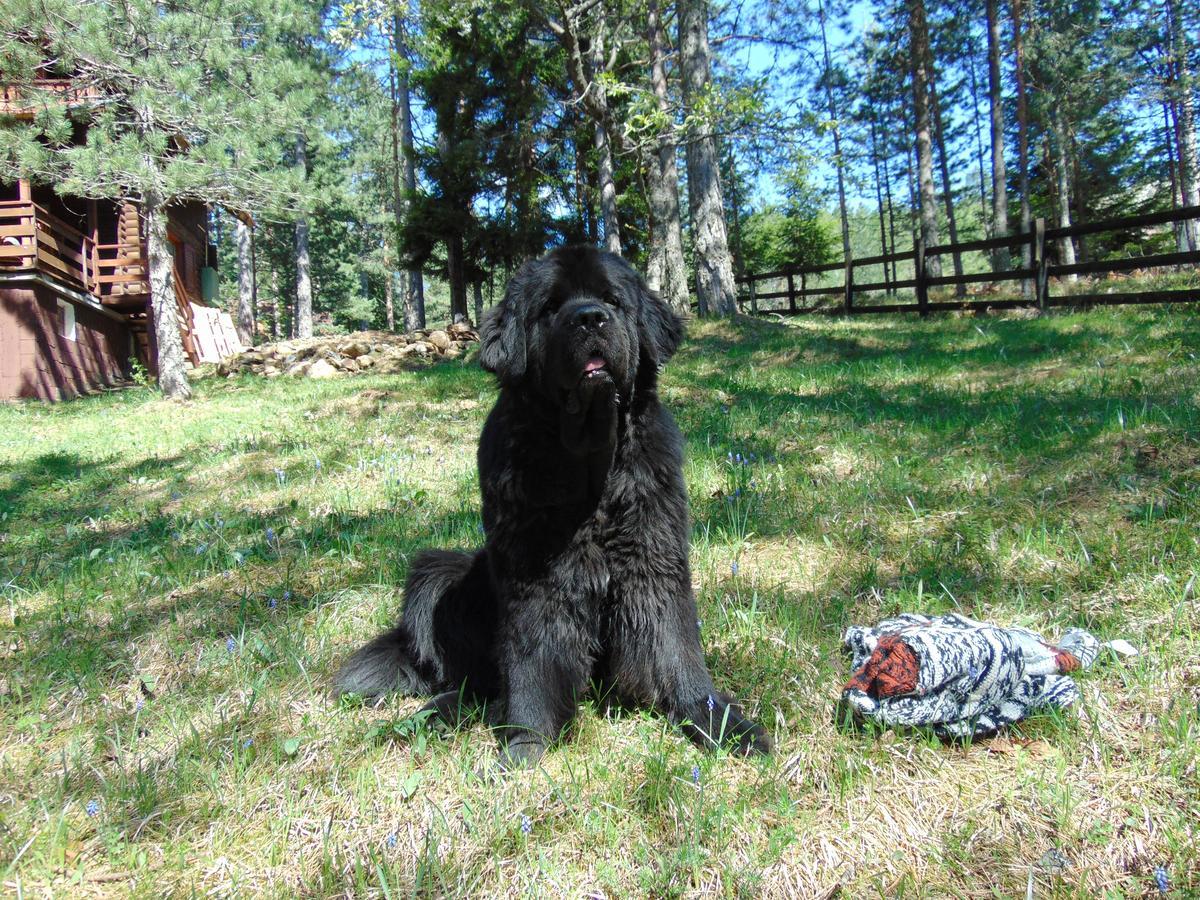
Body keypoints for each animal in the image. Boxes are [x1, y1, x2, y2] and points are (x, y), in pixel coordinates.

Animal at [338, 247, 768, 768]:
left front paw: (719, 724)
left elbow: (675, 650)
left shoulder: (653, 560)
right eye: (550, 307)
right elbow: (532, 664)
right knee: (477, 677)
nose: (590, 318)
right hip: (439, 572)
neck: (590, 466)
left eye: (612, 300)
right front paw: (527, 743)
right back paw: (435, 713)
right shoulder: (534, 577)